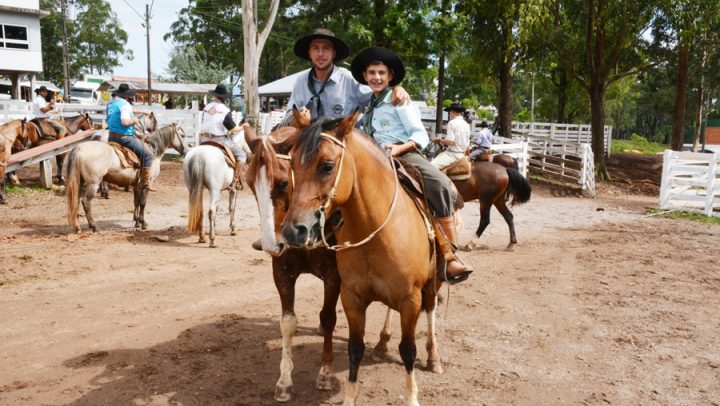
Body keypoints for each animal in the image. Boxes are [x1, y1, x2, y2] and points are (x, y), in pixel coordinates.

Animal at [282, 112, 444, 406]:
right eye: (292, 162)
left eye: (327, 166)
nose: (293, 230)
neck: (375, 227)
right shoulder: (352, 297)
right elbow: (354, 348)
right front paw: (349, 397)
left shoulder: (410, 299)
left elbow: (408, 349)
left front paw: (412, 397)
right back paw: (381, 344)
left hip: (433, 282)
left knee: (432, 310)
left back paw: (434, 358)